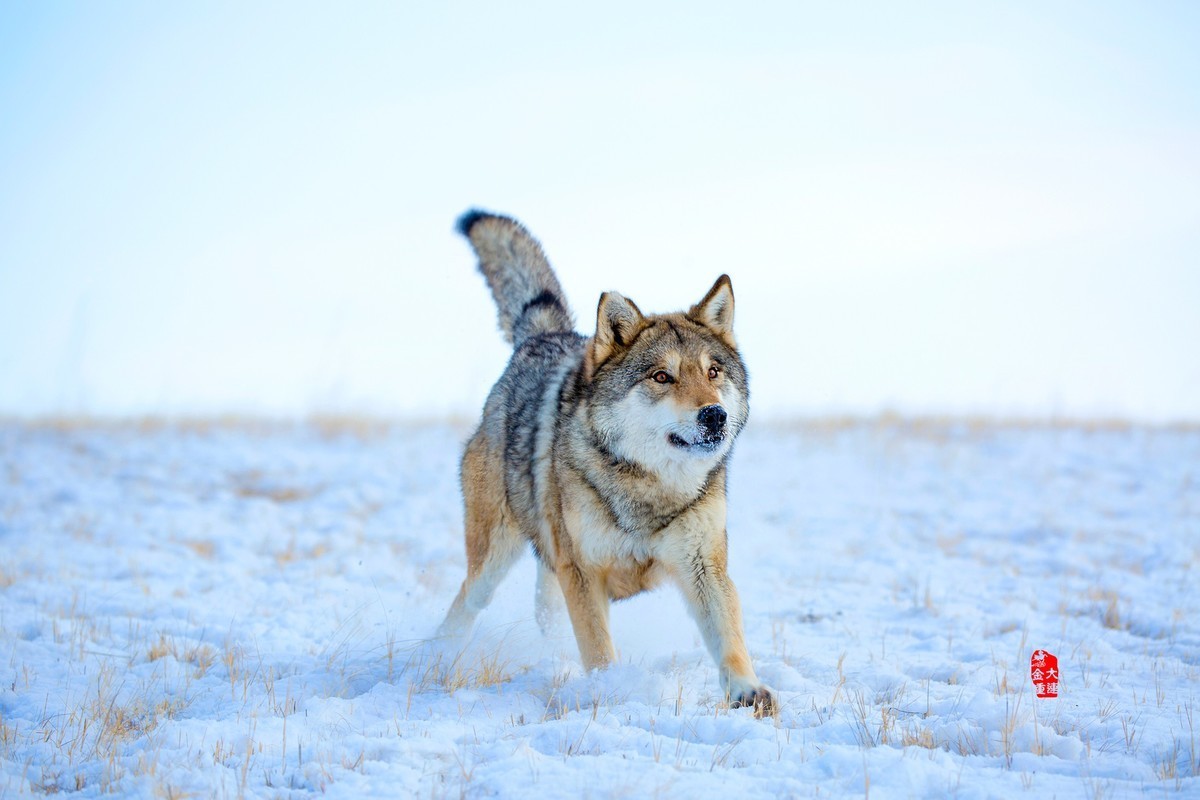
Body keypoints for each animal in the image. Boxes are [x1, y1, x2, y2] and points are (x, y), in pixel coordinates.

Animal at [436, 208, 772, 714]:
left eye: (713, 372)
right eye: (661, 376)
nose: (715, 415)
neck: (647, 488)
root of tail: (547, 335)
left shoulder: (704, 567)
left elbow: (729, 637)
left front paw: (747, 691)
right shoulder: (583, 574)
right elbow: (597, 649)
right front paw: (610, 692)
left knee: (545, 615)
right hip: (493, 561)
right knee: (463, 606)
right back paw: (434, 660)